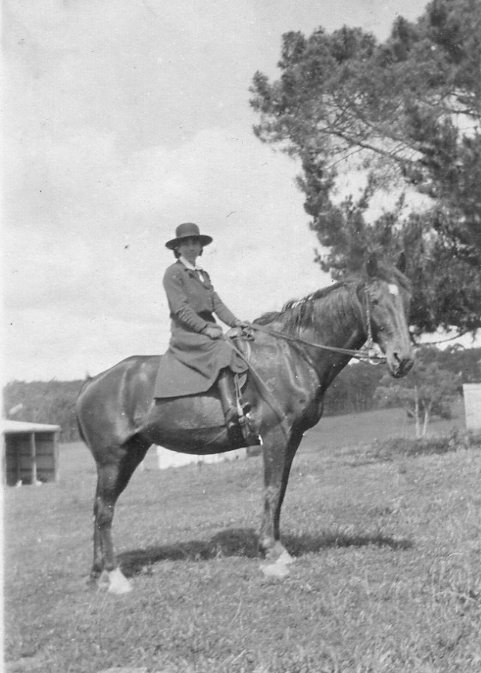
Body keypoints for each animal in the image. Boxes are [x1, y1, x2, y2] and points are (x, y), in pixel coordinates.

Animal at [76, 253, 414, 593]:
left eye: (406, 298)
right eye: (375, 300)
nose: (404, 359)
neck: (293, 355)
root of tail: (89, 387)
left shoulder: (292, 438)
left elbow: (281, 490)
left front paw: (277, 549)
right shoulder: (274, 435)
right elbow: (271, 490)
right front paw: (271, 552)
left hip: (131, 455)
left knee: (99, 508)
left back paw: (97, 574)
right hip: (113, 459)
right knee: (103, 511)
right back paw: (115, 577)